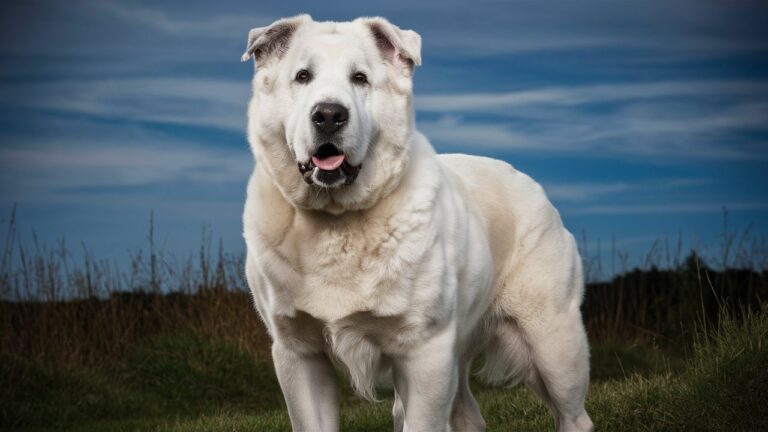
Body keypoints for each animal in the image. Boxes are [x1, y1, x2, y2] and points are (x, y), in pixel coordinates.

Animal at [243, 14, 592, 432]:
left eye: (360, 78)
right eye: (302, 76)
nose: (328, 114)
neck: (336, 223)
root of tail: (532, 184)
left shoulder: (425, 355)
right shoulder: (299, 355)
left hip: (554, 347)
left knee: (575, 417)